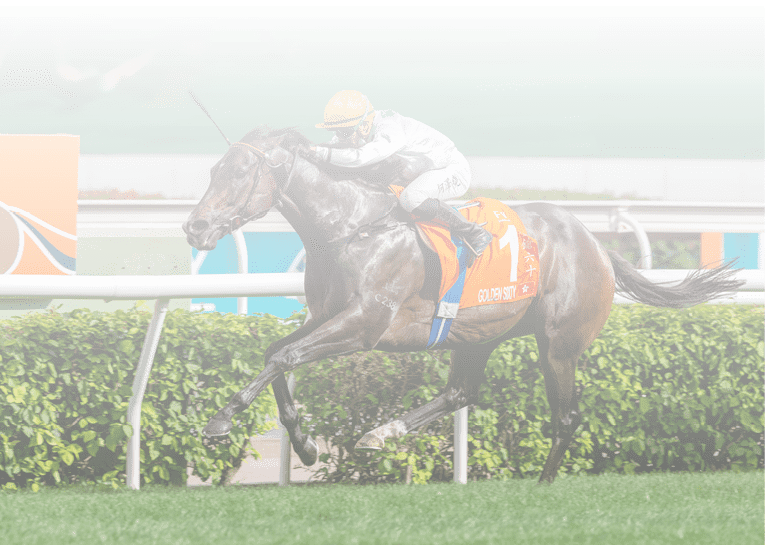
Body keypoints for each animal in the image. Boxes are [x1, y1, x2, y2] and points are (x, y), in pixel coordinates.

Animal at [181, 125, 740, 482]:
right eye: (214, 168)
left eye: (238, 172)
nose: (195, 226)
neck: (351, 226)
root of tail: (597, 245)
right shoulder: (326, 316)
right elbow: (276, 354)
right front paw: (305, 443)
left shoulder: (364, 324)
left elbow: (284, 356)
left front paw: (221, 419)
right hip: (478, 333)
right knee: (461, 393)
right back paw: (383, 431)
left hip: (559, 344)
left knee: (564, 417)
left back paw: (543, 485)